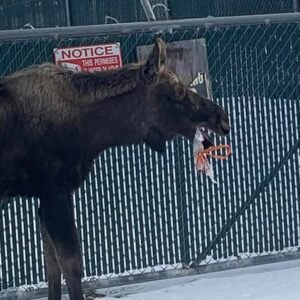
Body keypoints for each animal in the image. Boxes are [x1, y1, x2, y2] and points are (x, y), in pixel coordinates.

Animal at [0, 38, 230, 298]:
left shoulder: (51, 194)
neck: (92, 131)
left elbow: (52, 266)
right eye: (178, 92)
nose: (222, 119)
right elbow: (72, 264)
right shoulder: (53, 190)